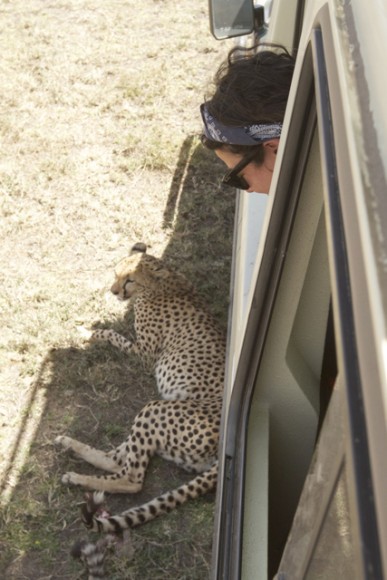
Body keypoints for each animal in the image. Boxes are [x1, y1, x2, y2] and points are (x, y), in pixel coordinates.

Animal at [57, 241, 227, 536]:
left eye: (130, 281)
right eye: (116, 274)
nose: (114, 291)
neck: (165, 282)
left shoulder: (144, 356)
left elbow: (110, 333)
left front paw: (86, 332)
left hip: (157, 409)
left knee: (132, 478)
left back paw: (79, 478)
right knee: (115, 458)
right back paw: (69, 447)